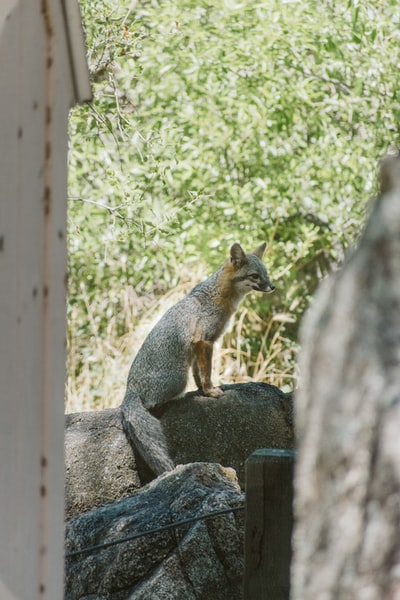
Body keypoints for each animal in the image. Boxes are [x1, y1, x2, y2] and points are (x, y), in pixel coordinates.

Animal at [120, 241, 274, 476]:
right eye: (255, 276)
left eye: (266, 274)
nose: (272, 287)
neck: (217, 296)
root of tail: (130, 388)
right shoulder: (204, 341)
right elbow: (207, 371)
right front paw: (211, 391)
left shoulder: (196, 348)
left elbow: (198, 373)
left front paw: (202, 390)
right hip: (178, 379)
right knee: (153, 403)